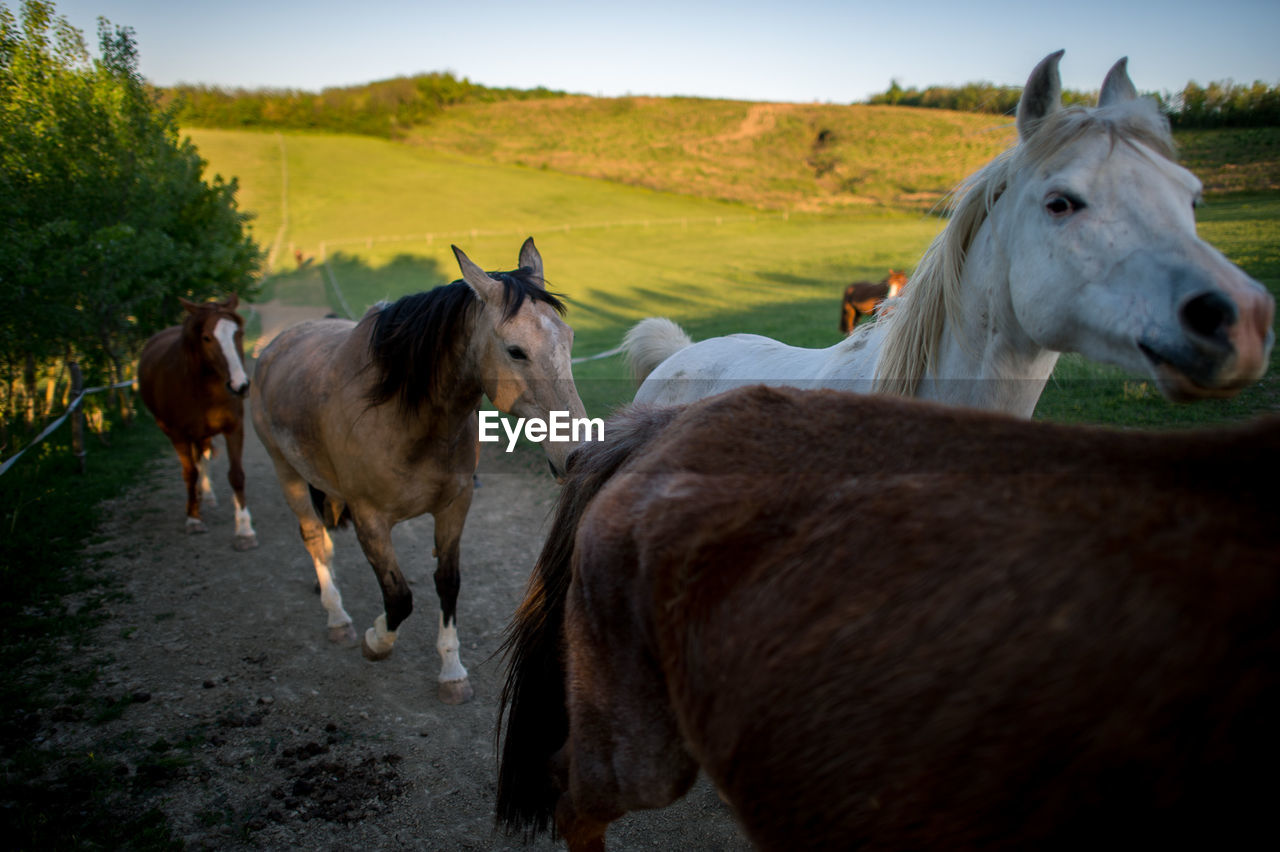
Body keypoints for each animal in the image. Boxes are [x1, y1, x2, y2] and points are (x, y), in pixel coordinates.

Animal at [137, 289, 257, 547]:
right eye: (206, 338)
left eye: (239, 333)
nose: (240, 385)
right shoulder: (178, 434)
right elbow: (189, 473)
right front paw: (193, 519)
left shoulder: (234, 428)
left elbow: (236, 475)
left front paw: (244, 530)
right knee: (194, 463)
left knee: (203, 456)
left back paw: (207, 495)